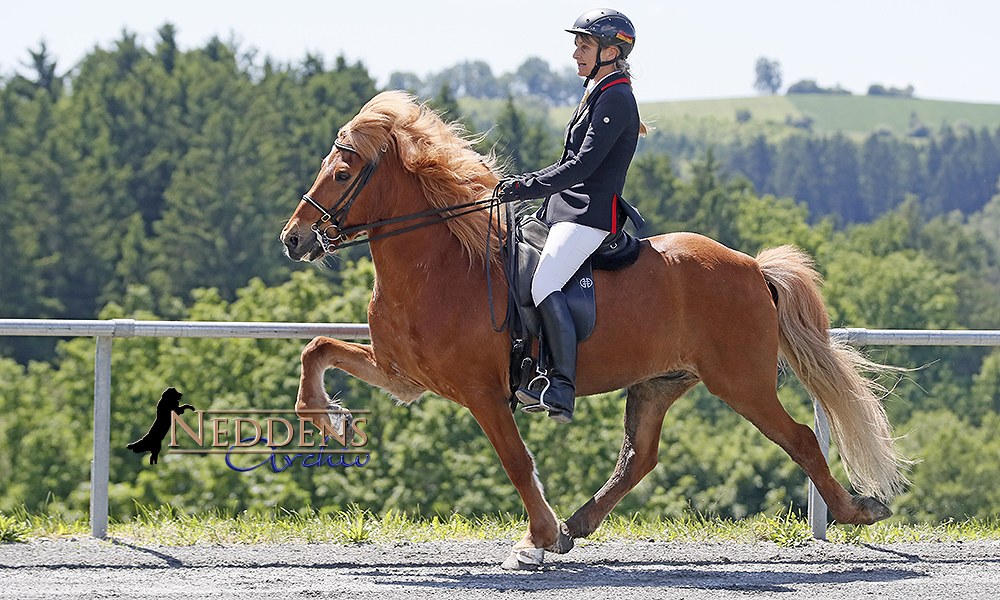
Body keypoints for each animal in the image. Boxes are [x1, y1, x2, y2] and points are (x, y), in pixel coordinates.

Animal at [280, 91, 908, 568]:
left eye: (341, 172)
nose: (293, 238)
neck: (439, 265)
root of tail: (753, 267)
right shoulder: (405, 376)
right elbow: (317, 349)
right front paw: (333, 421)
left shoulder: (482, 392)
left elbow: (516, 461)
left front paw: (537, 538)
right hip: (659, 381)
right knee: (640, 456)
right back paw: (581, 522)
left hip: (741, 382)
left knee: (800, 438)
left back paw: (858, 511)